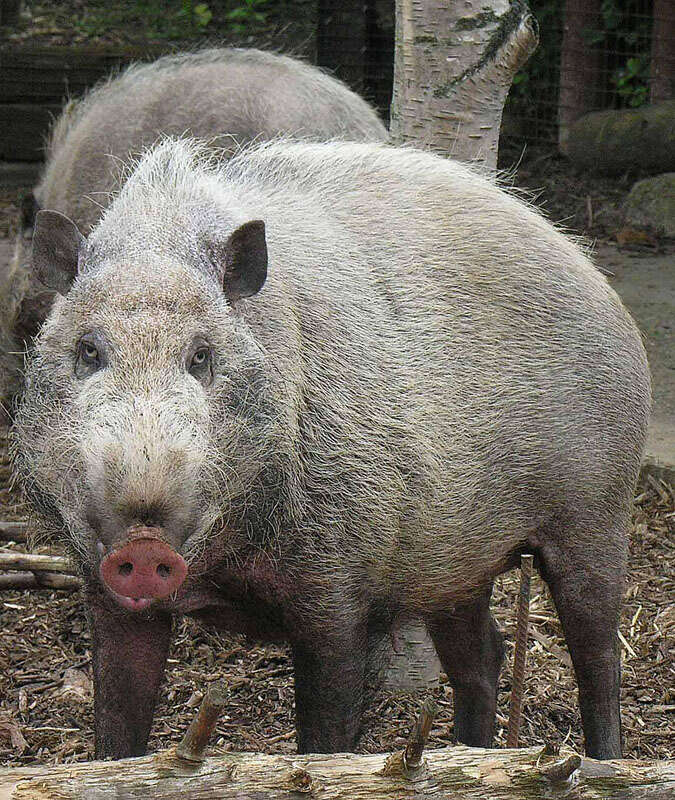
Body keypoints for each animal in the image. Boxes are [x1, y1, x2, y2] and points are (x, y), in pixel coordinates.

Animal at [13, 139, 652, 764]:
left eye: (201, 356)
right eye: (88, 350)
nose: (144, 546)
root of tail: (602, 287)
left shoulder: (342, 594)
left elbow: (326, 744)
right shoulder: (106, 591)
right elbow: (116, 736)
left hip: (598, 509)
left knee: (600, 655)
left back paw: (604, 762)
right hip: (457, 565)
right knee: (484, 655)